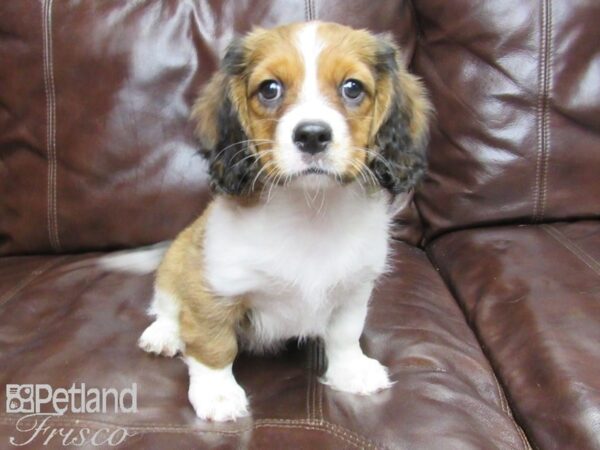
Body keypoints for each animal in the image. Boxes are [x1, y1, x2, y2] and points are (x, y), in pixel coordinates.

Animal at [138, 21, 428, 422]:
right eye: (269, 88)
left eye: (352, 88)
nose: (312, 135)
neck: (310, 212)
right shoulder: (214, 287)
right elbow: (213, 344)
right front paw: (217, 393)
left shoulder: (355, 287)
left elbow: (345, 334)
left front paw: (350, 370)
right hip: (178, 259)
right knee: (167, 304)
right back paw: (164, 334)